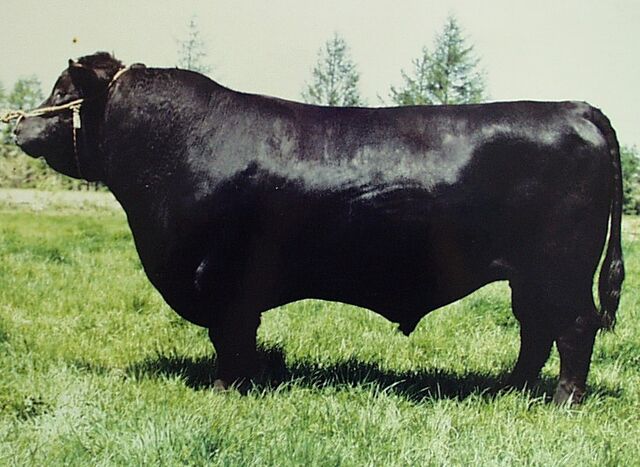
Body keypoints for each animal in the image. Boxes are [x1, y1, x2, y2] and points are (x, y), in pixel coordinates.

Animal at [8, 52, 624, 404]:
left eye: (63, 91)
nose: (17, 128)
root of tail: (574, 108)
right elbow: (241, 338)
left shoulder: (223, 278)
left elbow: (229, 338)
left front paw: (226, 390)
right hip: (530, 276)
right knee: (534, 329)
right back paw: (511, 389)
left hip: (561, 269)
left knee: (572, 327)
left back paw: (563, 400)